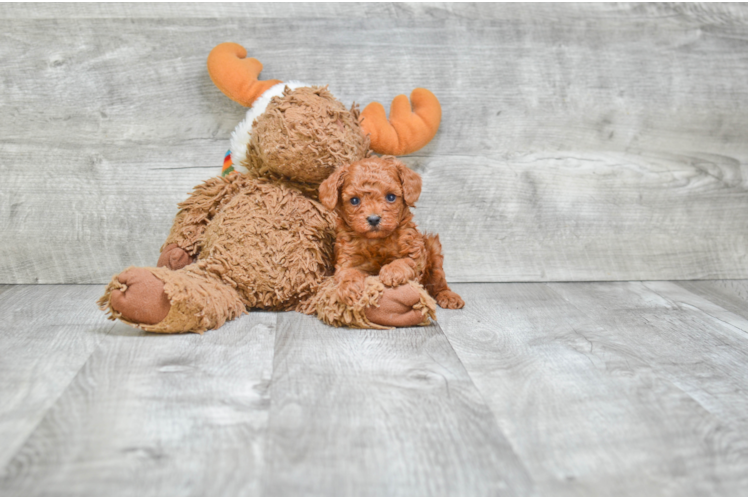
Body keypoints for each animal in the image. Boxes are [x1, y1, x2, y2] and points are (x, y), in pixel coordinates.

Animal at [318, 156, 464, 312]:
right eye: (354, 200)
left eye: (391, 197)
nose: (374, 219)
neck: (376, 241)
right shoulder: (347, 258)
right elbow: (347, 273)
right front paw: (349, 288)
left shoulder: (414, 250)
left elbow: (406, 261)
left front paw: (392, 271)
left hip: (433, 251)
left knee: (438, 281)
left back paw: (448, 296)